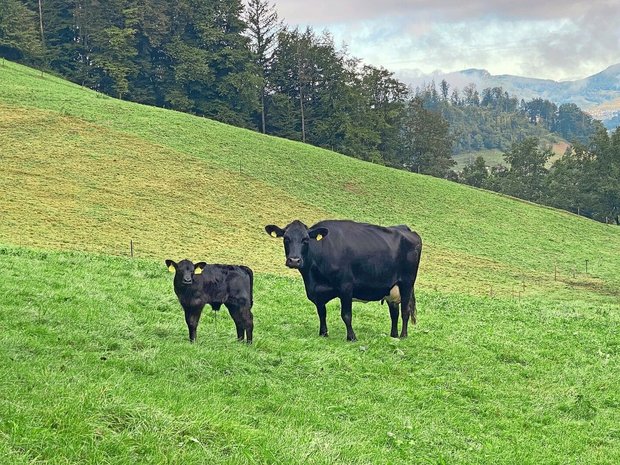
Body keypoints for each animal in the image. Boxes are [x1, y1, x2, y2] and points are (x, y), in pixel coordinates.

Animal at [264, 219, 424, 338]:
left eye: (305, 240)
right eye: (286, 239)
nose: (294, 260)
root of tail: (405, 228)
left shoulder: (346, 286)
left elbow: (346, 315)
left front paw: (351, 337)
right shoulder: (317, 292)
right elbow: (322, 313)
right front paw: (323, 334)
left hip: (407, 283)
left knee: (405, 311)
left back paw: (403, 335)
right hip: (391, 288)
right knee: (394, 313)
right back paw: (393, 335)